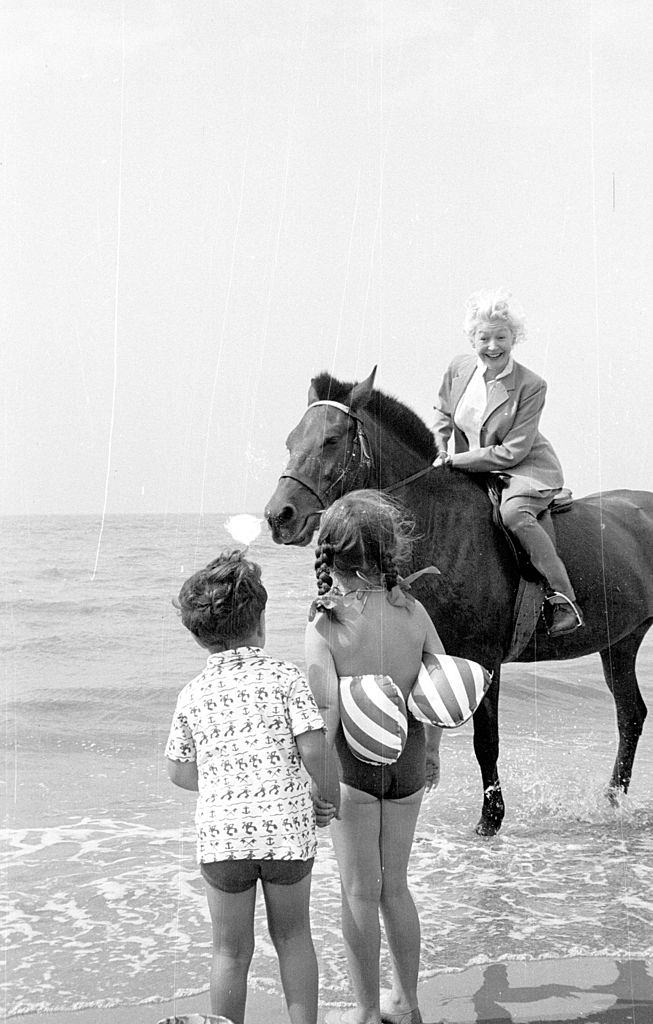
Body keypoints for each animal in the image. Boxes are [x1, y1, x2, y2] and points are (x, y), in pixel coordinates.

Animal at [266, 368, 653, 831]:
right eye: (290, 441)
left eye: (331, 439)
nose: (279, 516)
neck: (438, 525)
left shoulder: (484, 658)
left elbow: (486, 742)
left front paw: (490, 820)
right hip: (621, 643)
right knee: (630, 715)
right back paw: (612, 801)